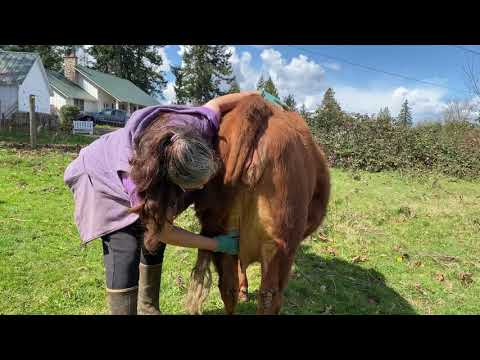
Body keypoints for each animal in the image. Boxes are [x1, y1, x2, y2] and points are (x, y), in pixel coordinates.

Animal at [185, 93, 330, 316]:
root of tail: (256, 104)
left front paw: (244, 290)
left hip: (219, 234)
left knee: (227, 287)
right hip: (280, 244)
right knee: (270, 296)